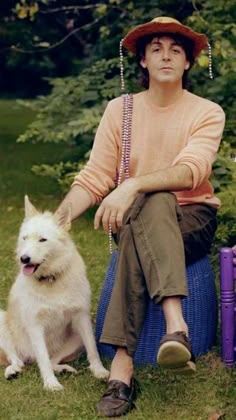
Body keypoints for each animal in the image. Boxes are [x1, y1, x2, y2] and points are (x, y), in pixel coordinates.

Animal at [0, 197, 108, 390]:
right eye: (25, 238)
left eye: (42, 240)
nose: (23, 259)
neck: (51, 279)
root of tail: (29, 358)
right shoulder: (35, 325)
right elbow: (43, 358)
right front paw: (50, 383)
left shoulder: (82, 317)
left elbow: (93, 350)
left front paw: (99, 371)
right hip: (2, 323)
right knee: (18, 359)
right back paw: (12, 371)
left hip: (77, 335)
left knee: (52, 360)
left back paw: (63, 369)